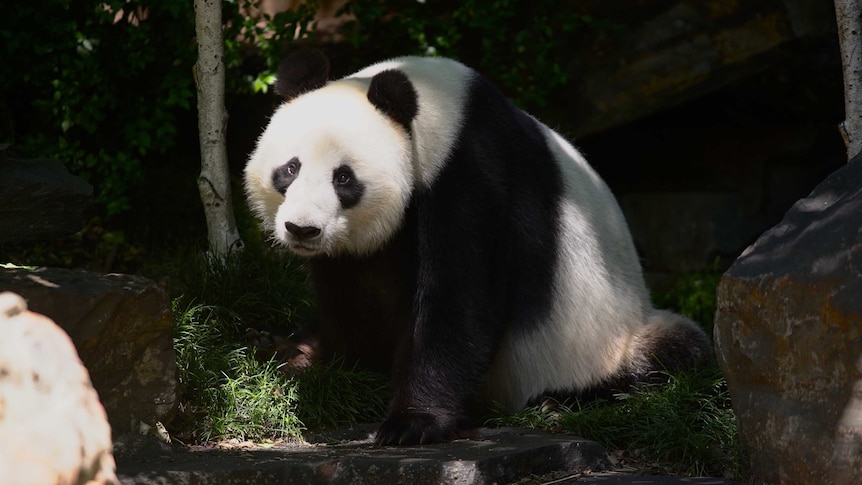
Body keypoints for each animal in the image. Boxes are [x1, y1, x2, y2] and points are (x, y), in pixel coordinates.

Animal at [245, 50, 716, 446]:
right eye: (290, 169)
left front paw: (411, 423)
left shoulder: (472, 176)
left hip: (613, 338)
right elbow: (352, 297)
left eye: (343, 178)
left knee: (675, 352)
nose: (302, 229)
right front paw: (312, 357)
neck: (435, 114)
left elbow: (460, 299)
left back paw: (562, 399)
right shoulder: (355, 250)